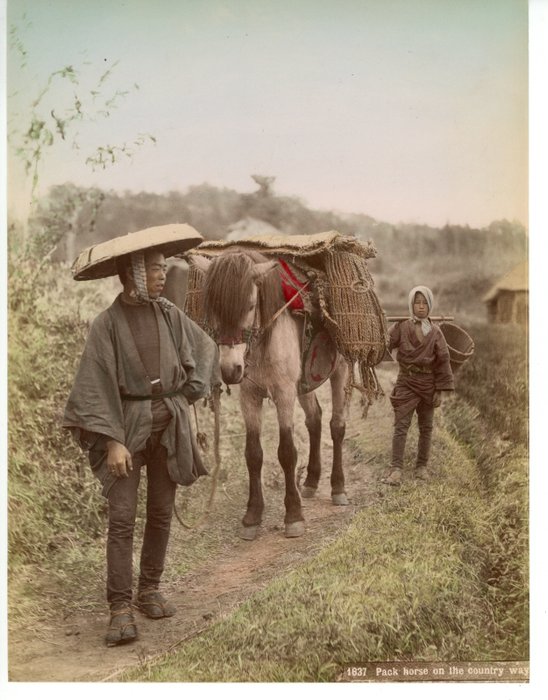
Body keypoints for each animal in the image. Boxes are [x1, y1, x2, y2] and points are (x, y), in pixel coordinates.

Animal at [184, 252, 348, 540]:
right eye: (213, 309)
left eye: (250, 306)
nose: (230, 369)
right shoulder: (250, 396)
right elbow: (253, 454)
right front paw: (252, 516)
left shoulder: (283, 393)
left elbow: (287, 452)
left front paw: (293, 515)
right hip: (303, 383)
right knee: (314, 419)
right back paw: (311, 480)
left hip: (339, 370)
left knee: (336, 425)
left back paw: (337, 487)